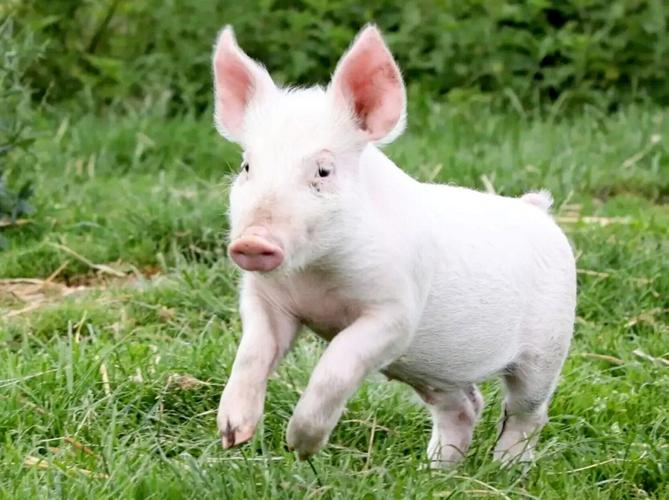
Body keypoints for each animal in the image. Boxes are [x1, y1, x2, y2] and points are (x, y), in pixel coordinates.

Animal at [212, 24, 576, 467]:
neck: (315, 278)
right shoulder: (266, 300)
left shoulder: (397, 312)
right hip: (434, 369)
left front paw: (299, 446)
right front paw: (233, 434)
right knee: (465, 406)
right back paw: (435, 471)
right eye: (247, 166)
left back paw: (505, 468)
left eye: (323, 170)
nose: (251, 242)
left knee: (527, 412)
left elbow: (337, 364)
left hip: (548, 344)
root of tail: (537, 209)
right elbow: (253, 351)